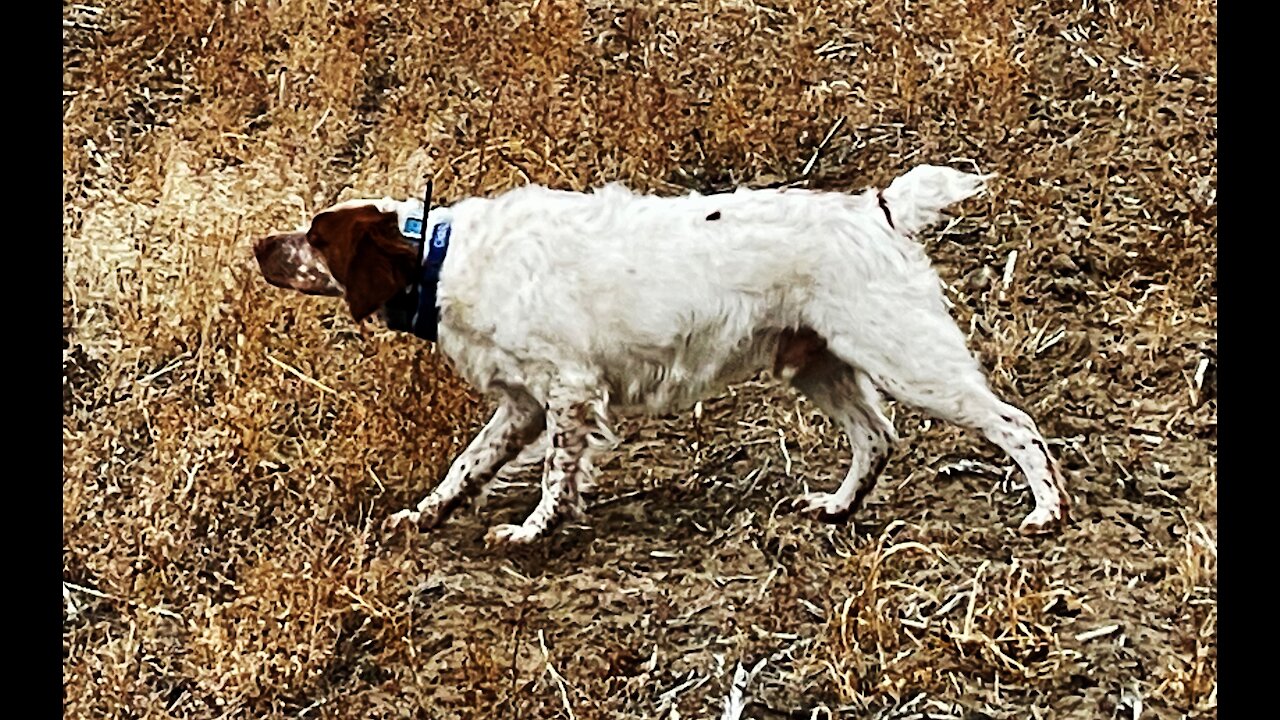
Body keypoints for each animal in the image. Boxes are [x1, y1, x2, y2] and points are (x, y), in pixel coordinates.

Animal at [252, 163, 1070, 543]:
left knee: (1017, 425)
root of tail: (881, 208)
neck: (442, 258)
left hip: (909, 357)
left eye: (316, 238)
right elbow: (464, 467)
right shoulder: (521, 407)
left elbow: (554, 477)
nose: (260, 245)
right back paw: (836, 506)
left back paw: (1046, 512)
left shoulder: (569, 392)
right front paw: (422, 516)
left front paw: (531, 532)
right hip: (817, 364)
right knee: (877, 438)